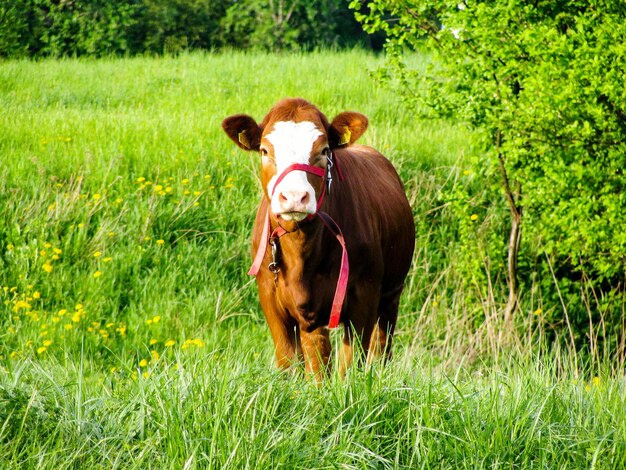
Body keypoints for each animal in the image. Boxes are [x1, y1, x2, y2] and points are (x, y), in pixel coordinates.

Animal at [222, 97, 412, 380]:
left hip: (391, 293)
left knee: (381, 346)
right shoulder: (271, 300)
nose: (294, 197)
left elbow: (350, 364)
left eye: (324, 150)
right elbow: (295, 362)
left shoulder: (364, 295)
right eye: (265, 151)